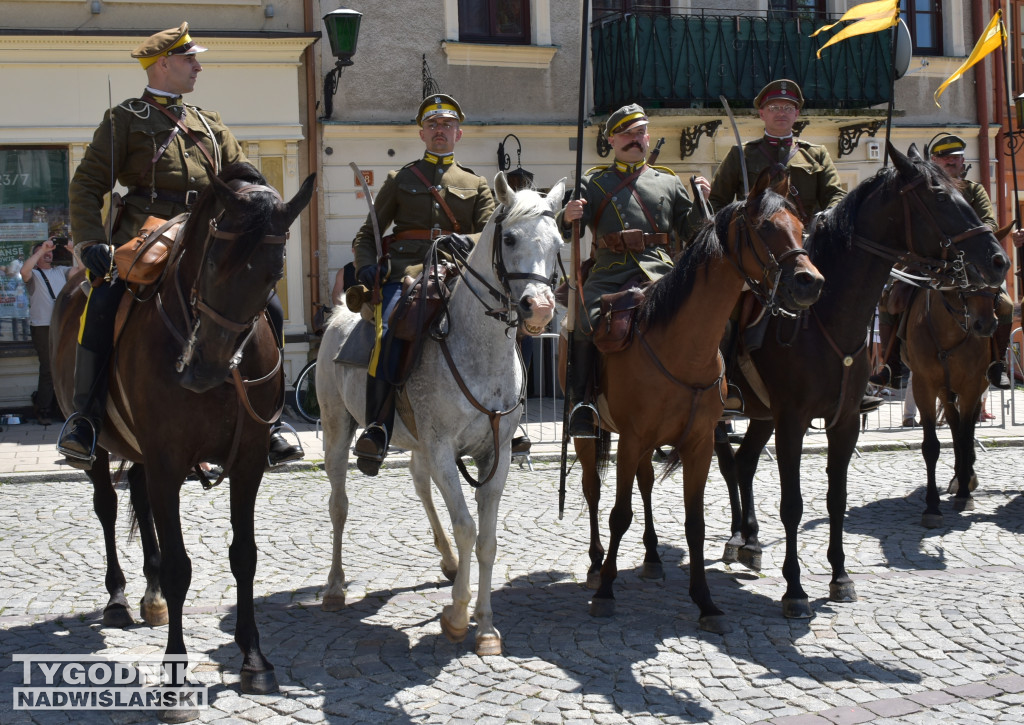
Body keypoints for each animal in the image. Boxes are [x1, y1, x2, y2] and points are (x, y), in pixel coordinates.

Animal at [51, 161, 313, 704]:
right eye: (211, 260)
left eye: (274, 272)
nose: (204, 367)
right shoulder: (169, 462)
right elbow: (179, 566)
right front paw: (175, 679)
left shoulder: (247, 463)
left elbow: (244, 556)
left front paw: (254, 658)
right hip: (103, 449)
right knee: (108, 506)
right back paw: (119, 597)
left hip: (144, 453)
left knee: (139, 496)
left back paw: (149, 597)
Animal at [317, 171, 565, 655]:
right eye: (509, 237)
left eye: (559, 241)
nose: (541, 308)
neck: (480, 350)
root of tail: (339, 311)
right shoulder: (443, 447)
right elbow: (466, 526)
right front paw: (456, 617)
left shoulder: (494, 455)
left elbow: (486, 539)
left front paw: (485, 626)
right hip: (338, 428)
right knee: (338, 504)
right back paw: (335, 587)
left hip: (418, 444)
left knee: (420, 484)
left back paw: (449, 561)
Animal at [573, 168, 827, 626]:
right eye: (766, 227)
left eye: (802, 228)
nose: (810, 282)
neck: (683, 346)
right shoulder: (632, 438)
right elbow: (619, 514)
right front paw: (605, 591)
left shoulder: (698, 443)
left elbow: (695, 523)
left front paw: (705, 601)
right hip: (593, 434)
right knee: (593, 489)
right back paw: (596, 563)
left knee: (646, 483)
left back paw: (653, 557)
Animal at [909, 284, 995, 528]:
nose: (986, 324)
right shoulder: (924, 386)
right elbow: (931, 446)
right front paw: (932, 507)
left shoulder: (971, 387)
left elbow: (966, 439)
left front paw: (965, 495)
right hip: (944, 391)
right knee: (954, 424)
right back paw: (959, 476)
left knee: (967, 427)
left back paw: (967, 477)